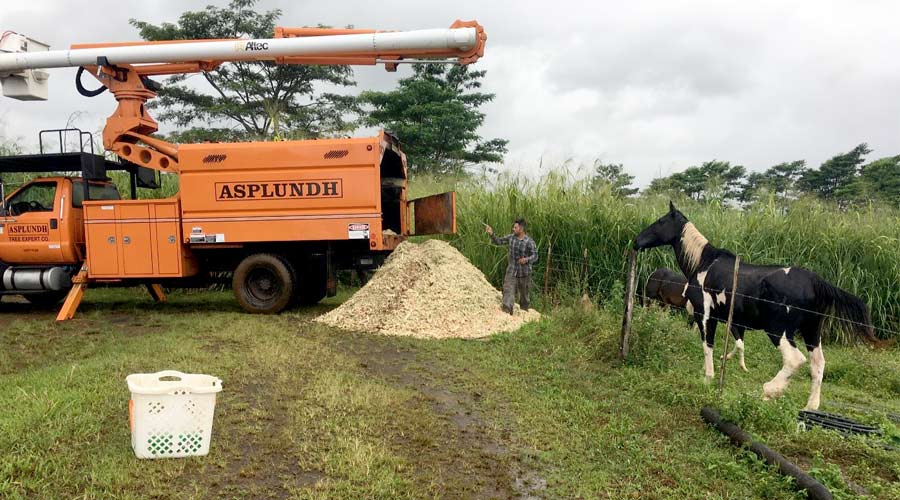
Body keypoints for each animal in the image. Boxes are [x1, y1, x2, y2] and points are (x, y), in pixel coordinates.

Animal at [632, 203, 880, 410]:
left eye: (660, 221)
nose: (636, 241)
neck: (704, 263)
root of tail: (815, 281)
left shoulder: (704, 316)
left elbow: (707, 346)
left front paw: (707, 378)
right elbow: (732, 344)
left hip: (779, 331)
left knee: (795, 360)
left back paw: (769, 391)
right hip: (812, 331)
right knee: (818, 364)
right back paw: (810, 406)